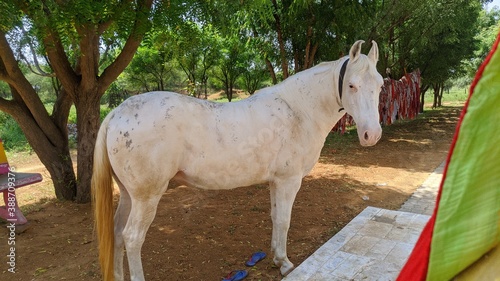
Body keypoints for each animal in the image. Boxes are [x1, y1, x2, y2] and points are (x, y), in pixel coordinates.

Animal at [93, 40, 382, 280]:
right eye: (352, 85)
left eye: (379, 85)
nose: (372, 135)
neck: (298, 110)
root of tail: (116, 113)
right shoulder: (288, 181)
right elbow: (284, 220)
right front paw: (286, 264)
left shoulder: (276, 182)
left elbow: (275, 217)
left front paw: (277, 258)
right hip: (146, 197)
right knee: (132, 238)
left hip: (129, 195)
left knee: (117, 234)